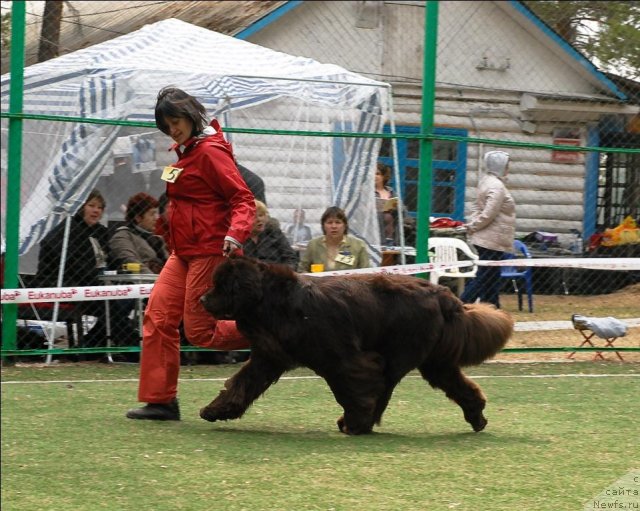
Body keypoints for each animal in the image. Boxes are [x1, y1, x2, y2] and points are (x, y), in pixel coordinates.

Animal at [200, 256, 516, 436]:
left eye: (222, 286)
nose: (202, 299)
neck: (274, 303)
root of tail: (444, 295)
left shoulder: (342, 360)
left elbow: (351, 389)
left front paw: (355, 419)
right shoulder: (268, 358)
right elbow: (240, 385)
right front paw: (215, 410)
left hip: (400, 353)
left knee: (385, 387)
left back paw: (357, 424)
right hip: (434, 362)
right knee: (458, 386)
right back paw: (477, 417)